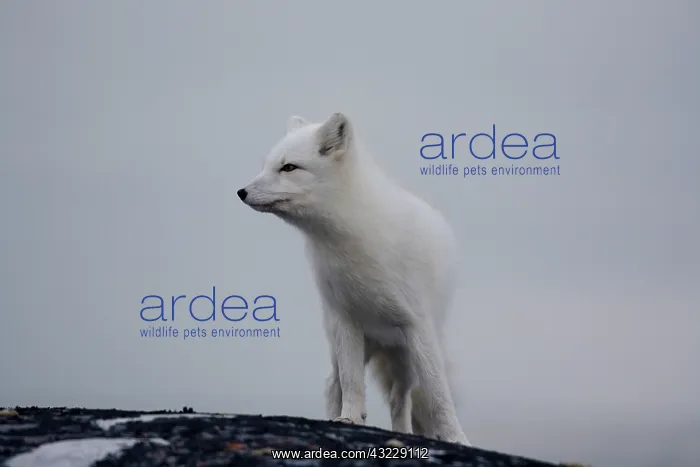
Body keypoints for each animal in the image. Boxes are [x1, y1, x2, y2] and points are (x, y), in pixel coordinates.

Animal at [238, 112, 470, 445]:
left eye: (289, 167)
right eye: (266, 165)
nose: (241, 192)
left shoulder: (418, 326)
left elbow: (438, 394)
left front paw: (456, 438)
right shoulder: (347, 320)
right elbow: (351, 383)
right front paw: (348, 418)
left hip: (404, 353)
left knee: (401, 399)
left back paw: (402, 432)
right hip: (347, 341)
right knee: (333, 383)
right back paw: (336, 417)